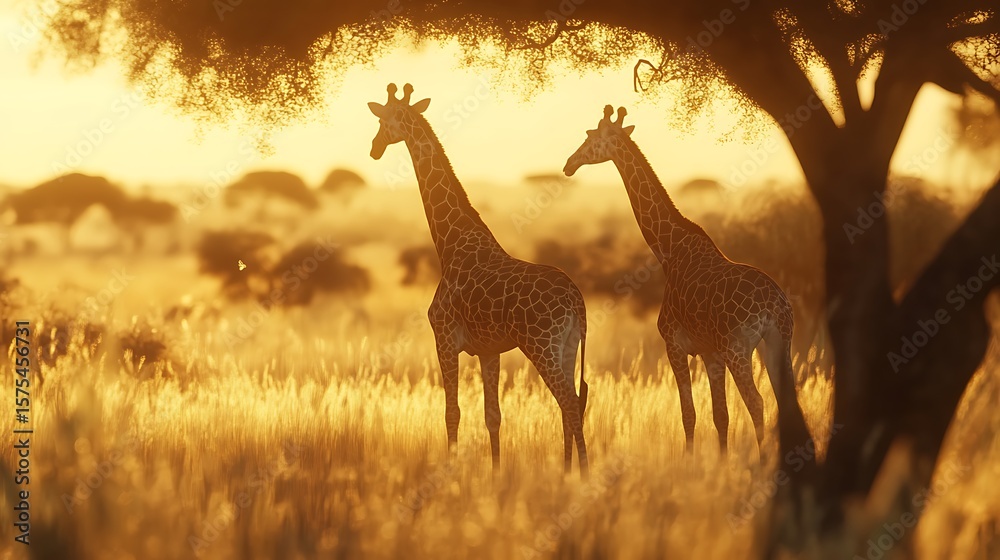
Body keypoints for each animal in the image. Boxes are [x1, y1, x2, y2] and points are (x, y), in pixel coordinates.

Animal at [368, 83, 590, 477]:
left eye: (385, 120)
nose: (374, 149)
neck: (450, 244)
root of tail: (576, 300)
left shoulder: (443, 338)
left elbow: (451, 412)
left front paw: (451, 471)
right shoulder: (489, 350)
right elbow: (493, 416)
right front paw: (496, 473)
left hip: (542, 346)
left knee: (569, 402)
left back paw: (581, 473)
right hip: (568, 345)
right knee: (573, 403)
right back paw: (568, 472)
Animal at [563, 105, 811, 459]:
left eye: (591, 136)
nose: (569, 164)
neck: (669, 252)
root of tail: (775, 305)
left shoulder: (675, 345)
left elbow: (689, 413)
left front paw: (692, 462)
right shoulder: (710, 352)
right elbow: (720, 415)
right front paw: (719, 463)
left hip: (740, 349)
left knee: (757, 402)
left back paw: (764, 462)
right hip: (780, 341)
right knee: (785, 400)